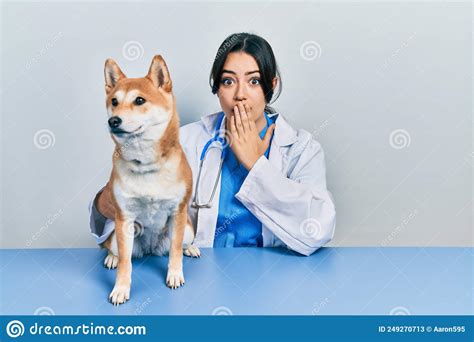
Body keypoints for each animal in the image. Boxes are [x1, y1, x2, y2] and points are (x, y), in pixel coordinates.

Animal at [100, 54, 200, 306]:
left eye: (139, 100)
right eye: (114, 101)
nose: (113, 121)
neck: (146, 165)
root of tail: (150, 249)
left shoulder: (178, 212)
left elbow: (175, 251)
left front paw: (174, 274)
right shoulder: (124, 218)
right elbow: (126, 263)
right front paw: (121, 288)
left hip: (187, 230)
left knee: (181, 244)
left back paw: (191, 249)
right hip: (117, 236)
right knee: (115, 250)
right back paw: (111, 257)